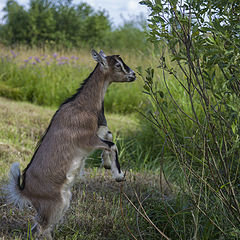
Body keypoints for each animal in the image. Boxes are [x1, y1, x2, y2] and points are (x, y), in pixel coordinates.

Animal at [4, 49, 136, 239]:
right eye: (118, 65)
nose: (133, 75)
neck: (85, 106)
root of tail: (24, 191)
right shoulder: (88, 140)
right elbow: (112, 144)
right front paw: (119, 175)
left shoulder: (99, 131)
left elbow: (109, 134)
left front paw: (105, 163)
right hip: (54, 204)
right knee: (39, 229)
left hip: (63, 201)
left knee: (42, 228)